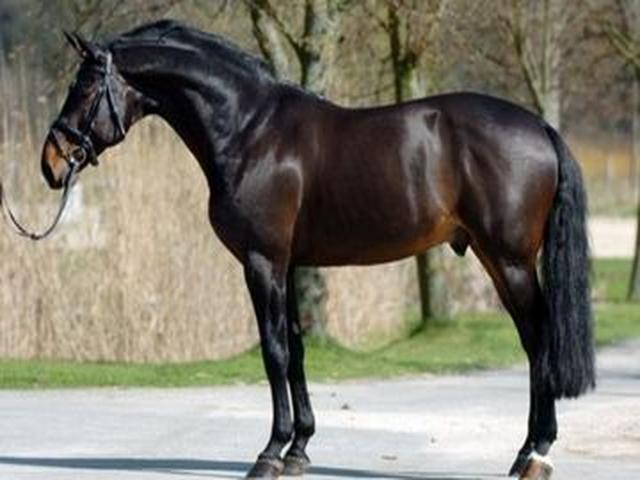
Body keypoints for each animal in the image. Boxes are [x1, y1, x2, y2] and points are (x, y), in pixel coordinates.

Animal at [39, 20, 594, 480]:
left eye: (83, 88)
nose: (51, 163)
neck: (251, 129)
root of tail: (540, 127)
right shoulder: (287, 264)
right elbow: (297, 347)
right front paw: (298, 450)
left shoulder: (261, 261)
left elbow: (274, 351)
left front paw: (269, 453)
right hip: (497, 259)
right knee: (533, 342)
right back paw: (526, 452)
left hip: (509, 261)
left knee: (539, 342)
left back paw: (535, 454)